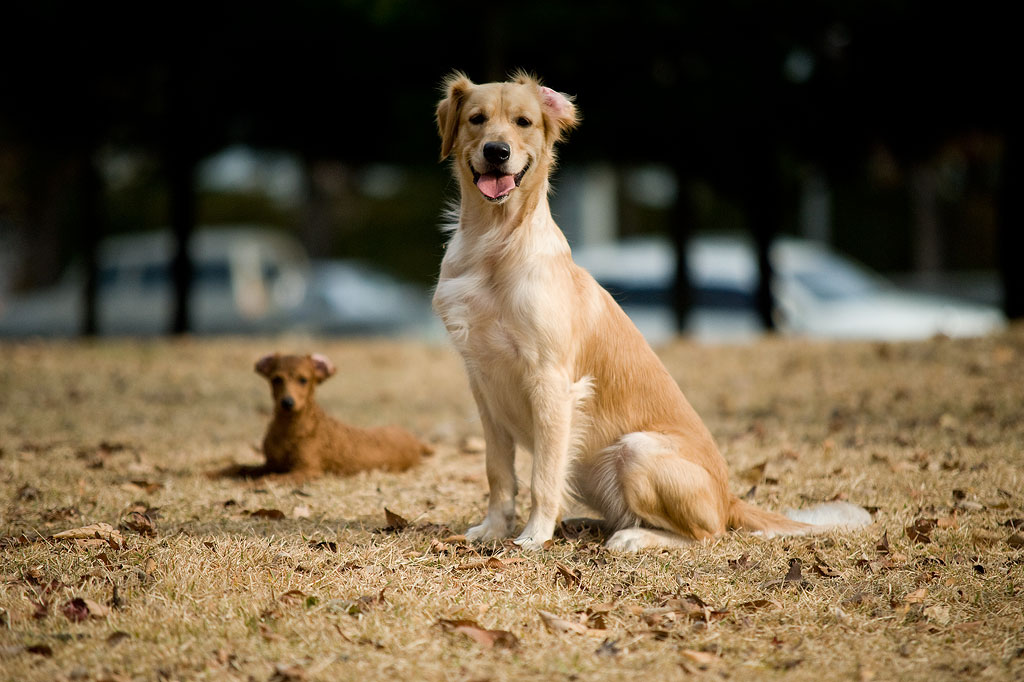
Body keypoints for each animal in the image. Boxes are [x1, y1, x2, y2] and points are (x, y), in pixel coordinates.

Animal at [226, 350, 430, 477]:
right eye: (277, 379)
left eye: (303, 380)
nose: (287, 402)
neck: (289, 428)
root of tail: (417, 441)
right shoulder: (270, 465)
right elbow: (239, 468)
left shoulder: (307, 470)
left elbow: (265, 480)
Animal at [432, 69, 872, 548]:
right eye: (477, 119)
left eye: (523, 122)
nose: (497, 151)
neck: (494, 245)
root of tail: (729, 498)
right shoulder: (483, 385)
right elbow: (498, 474)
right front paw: (493, 529)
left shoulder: (551, 382)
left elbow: (543, 478)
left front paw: (533, 537)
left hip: (636, 449)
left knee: (706, 534)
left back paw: (634, 538)